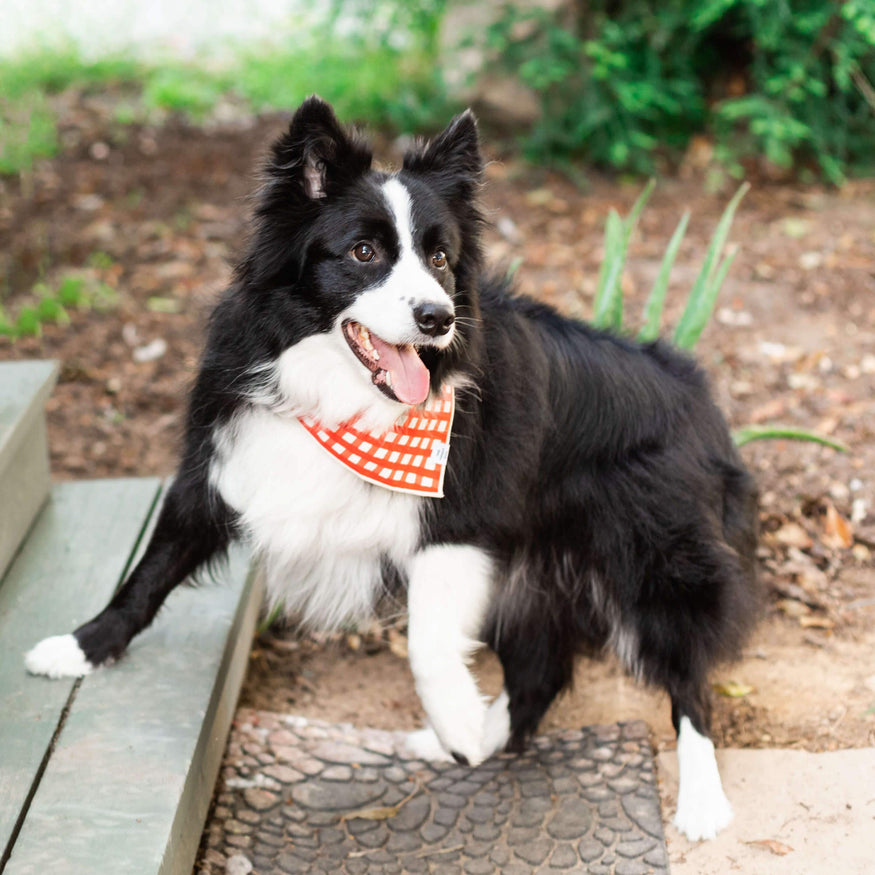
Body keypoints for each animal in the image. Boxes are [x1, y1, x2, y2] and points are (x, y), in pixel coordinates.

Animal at [25, 96, 760, 840]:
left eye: (439, 257)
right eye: (363, 251)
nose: (437, 317)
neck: (336, 396)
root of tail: (695, 393)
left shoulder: (460, 522)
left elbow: (426, 646)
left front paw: (456, 719)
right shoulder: (224, 469)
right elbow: (148, 573)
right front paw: (80, 647)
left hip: (658, 560)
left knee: (685, 676)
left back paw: (699, 799)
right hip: (539, 578)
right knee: (538, 674)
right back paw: (479, 739)